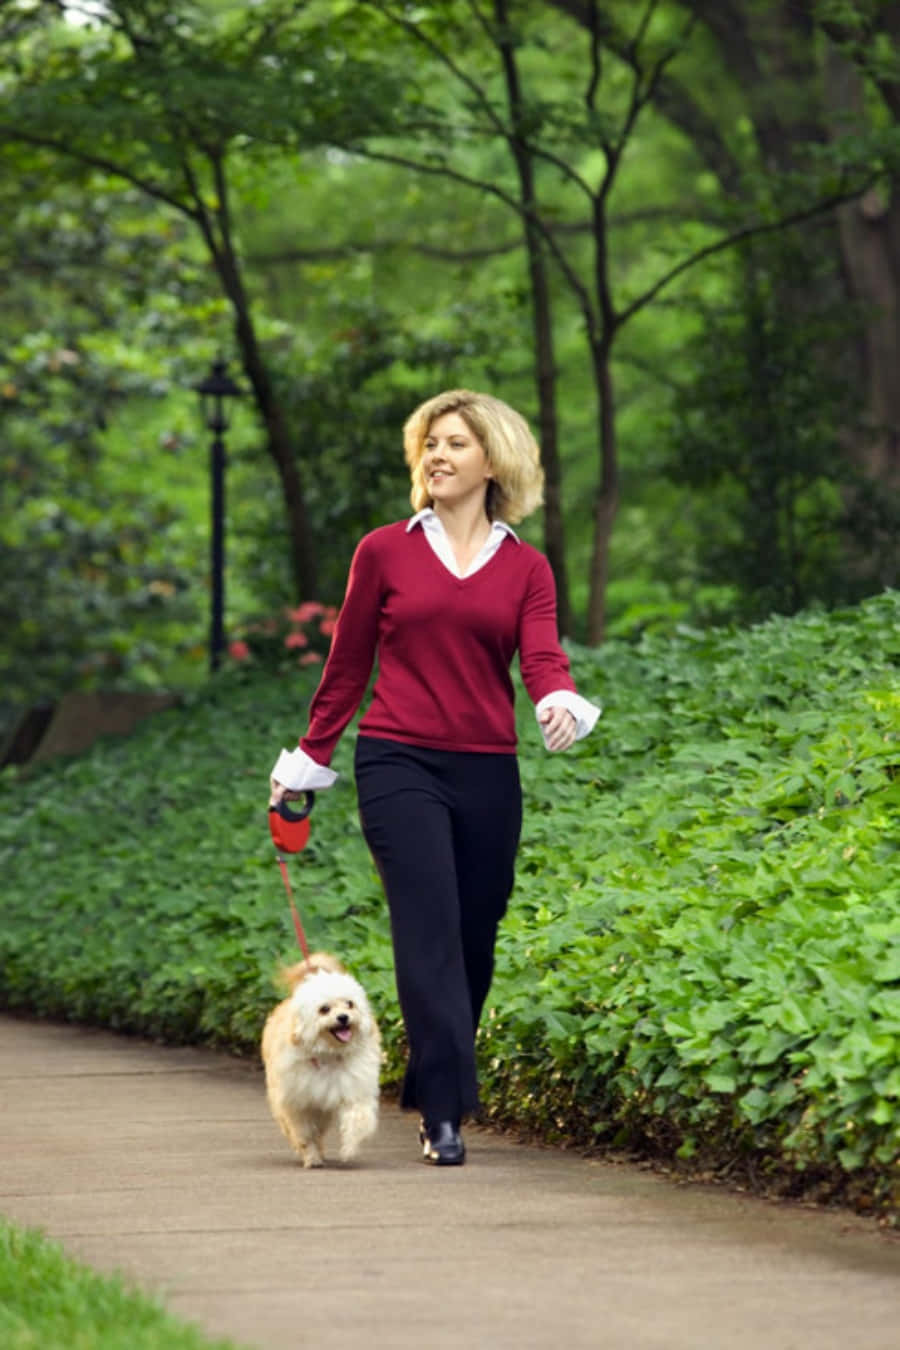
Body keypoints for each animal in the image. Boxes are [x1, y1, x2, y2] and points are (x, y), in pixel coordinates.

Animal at [260, 955, 380, 1166]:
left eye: (350, 1004)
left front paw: (348, 1149)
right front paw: (312, 1157)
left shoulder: (354, 1090)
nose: (343, 1017)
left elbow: (357, 1118)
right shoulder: (299, 1103)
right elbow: (305, 1134)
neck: (329, 1055)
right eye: (324, 1009)